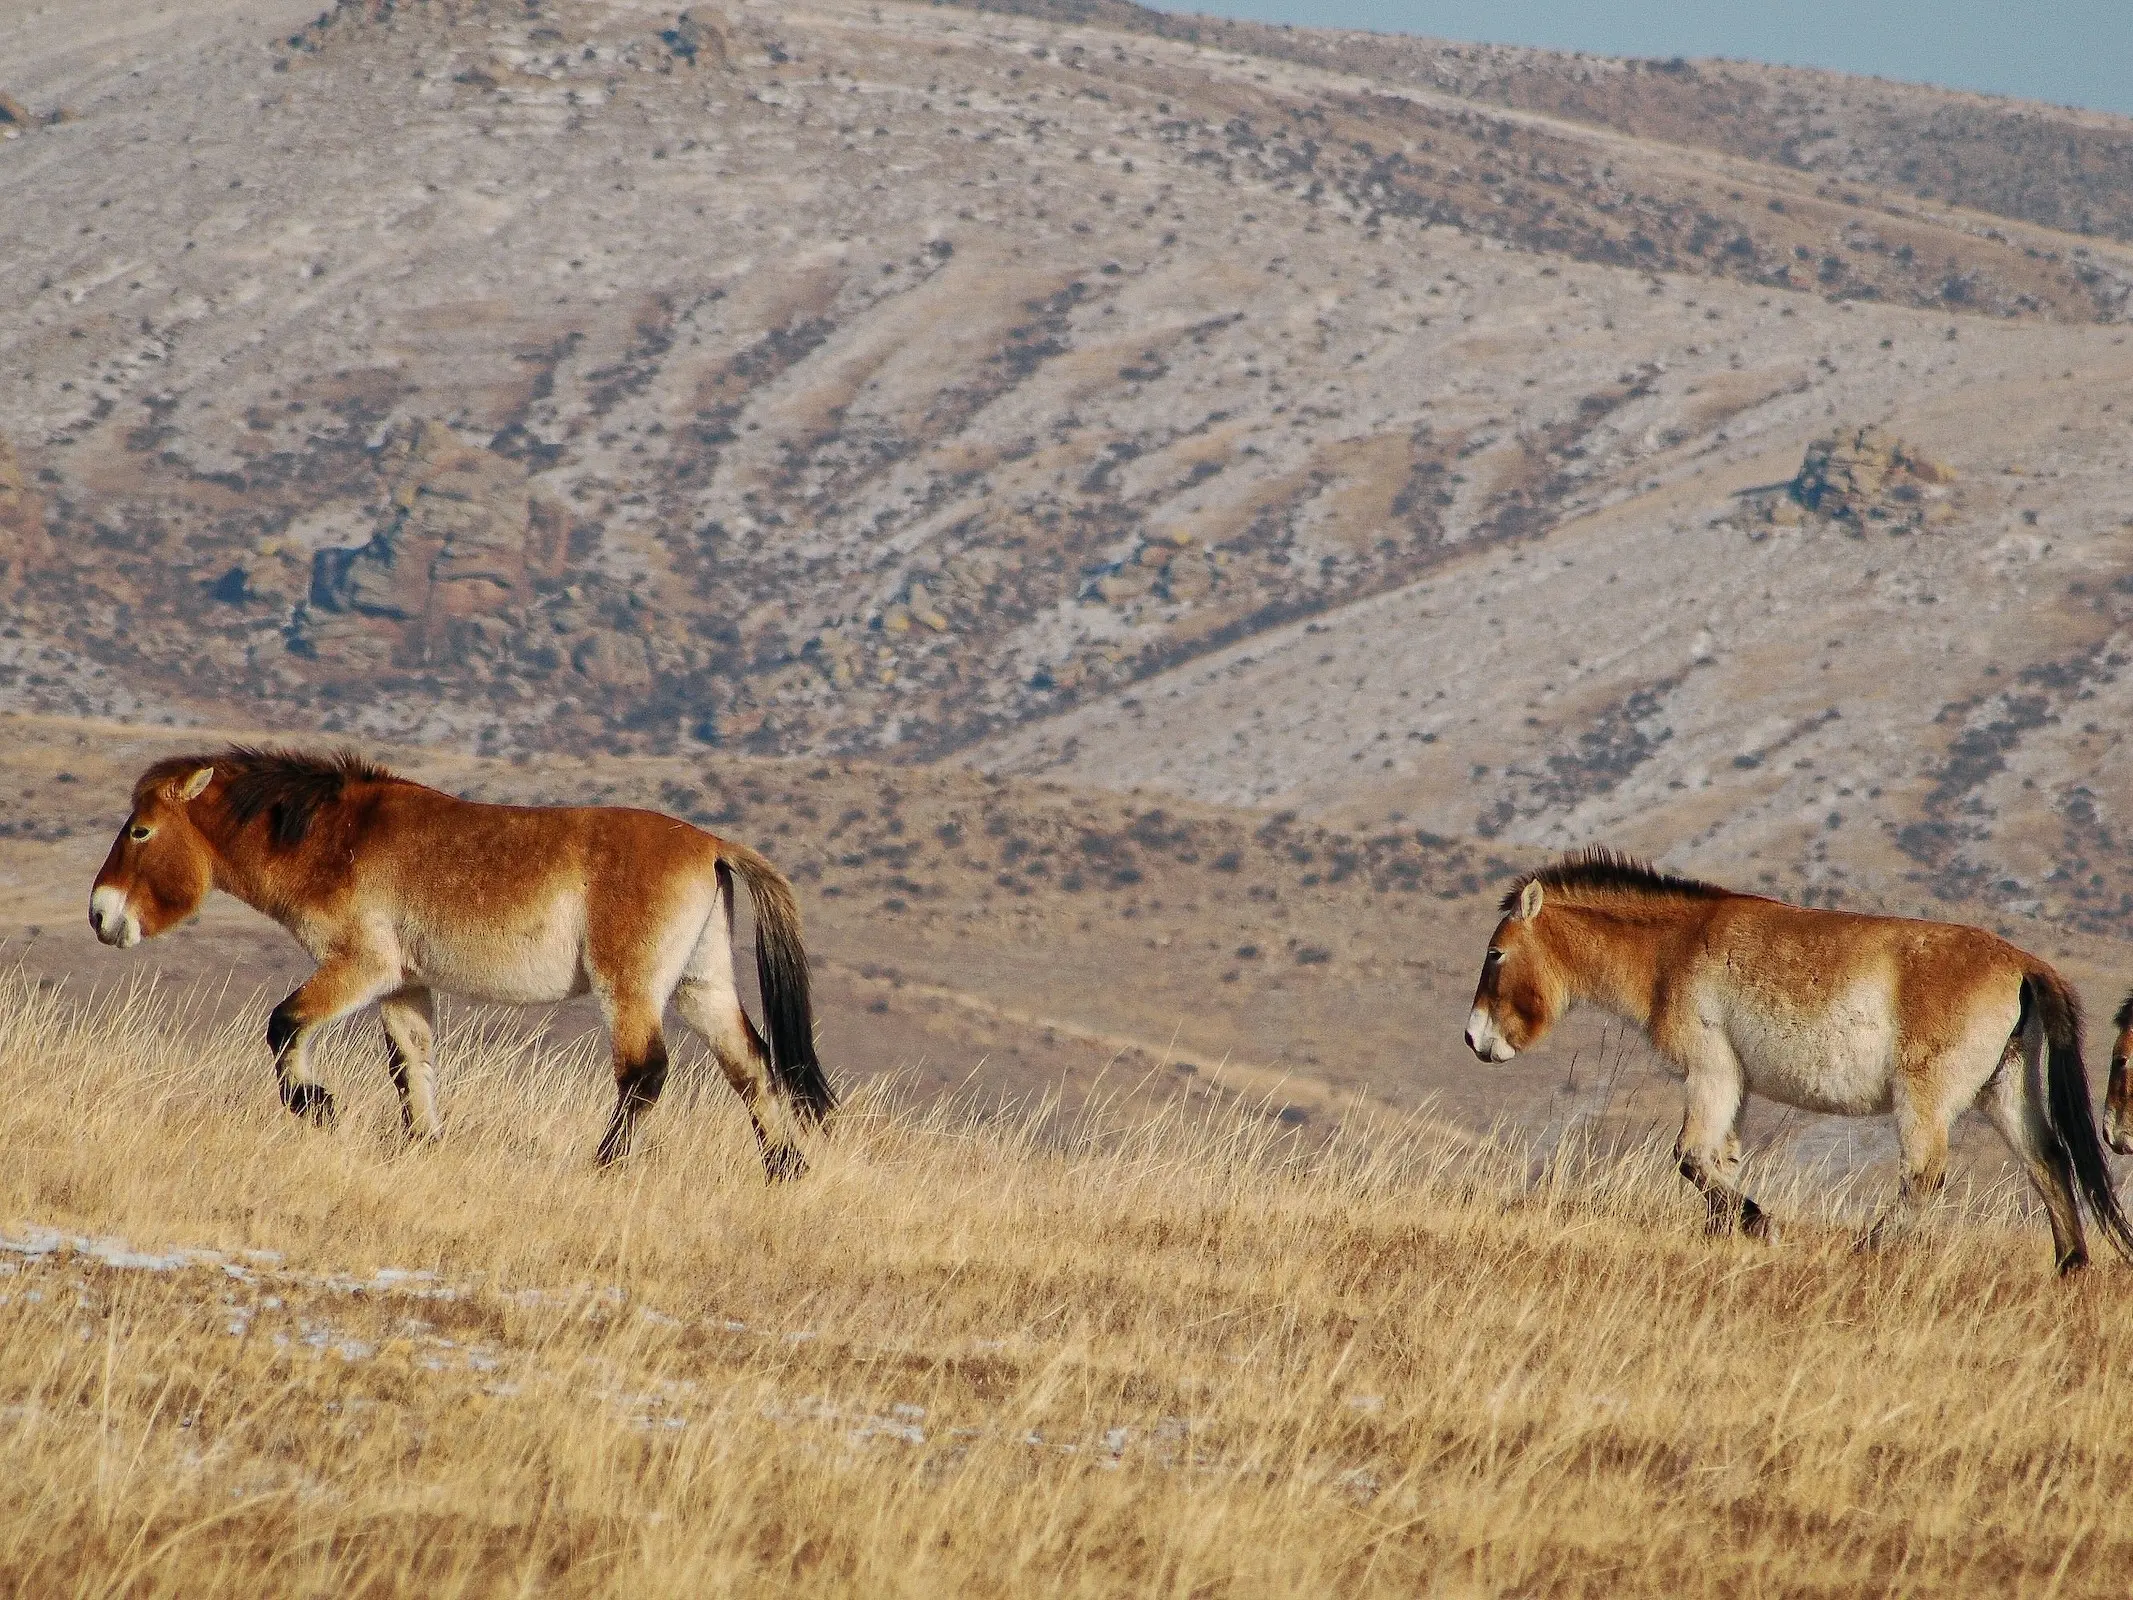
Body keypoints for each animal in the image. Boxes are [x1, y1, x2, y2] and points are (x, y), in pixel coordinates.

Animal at [87, 750, 831, 1177]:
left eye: (141, 830)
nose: (100, 914)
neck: (337, 837)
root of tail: (712, 844)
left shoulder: (360, 967)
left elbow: (284, 1024)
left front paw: (317, 1105)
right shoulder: (404, 985)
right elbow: (411, 1066)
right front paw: (423, 1145)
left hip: (632, 989)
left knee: (645, 1073)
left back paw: (602, 1165)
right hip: (702, 986)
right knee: (750, 1066)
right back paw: (786, 1168)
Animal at [1467, 853, 2133, 1280]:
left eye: (1495, 953)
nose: (1474, 1038)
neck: (1674, 947)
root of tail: (2025, 964)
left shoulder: (1711, 1073)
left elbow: (1689, 1156)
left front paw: (1760, 1224)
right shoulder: (1733, 1086)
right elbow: (1718, 1161)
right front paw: (1727, 1234)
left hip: (1925, 1100)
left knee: (1925, 1174)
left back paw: (1867, 1249)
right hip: (2004, 1091)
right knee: (2048, 1160)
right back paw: (2070, 1266)